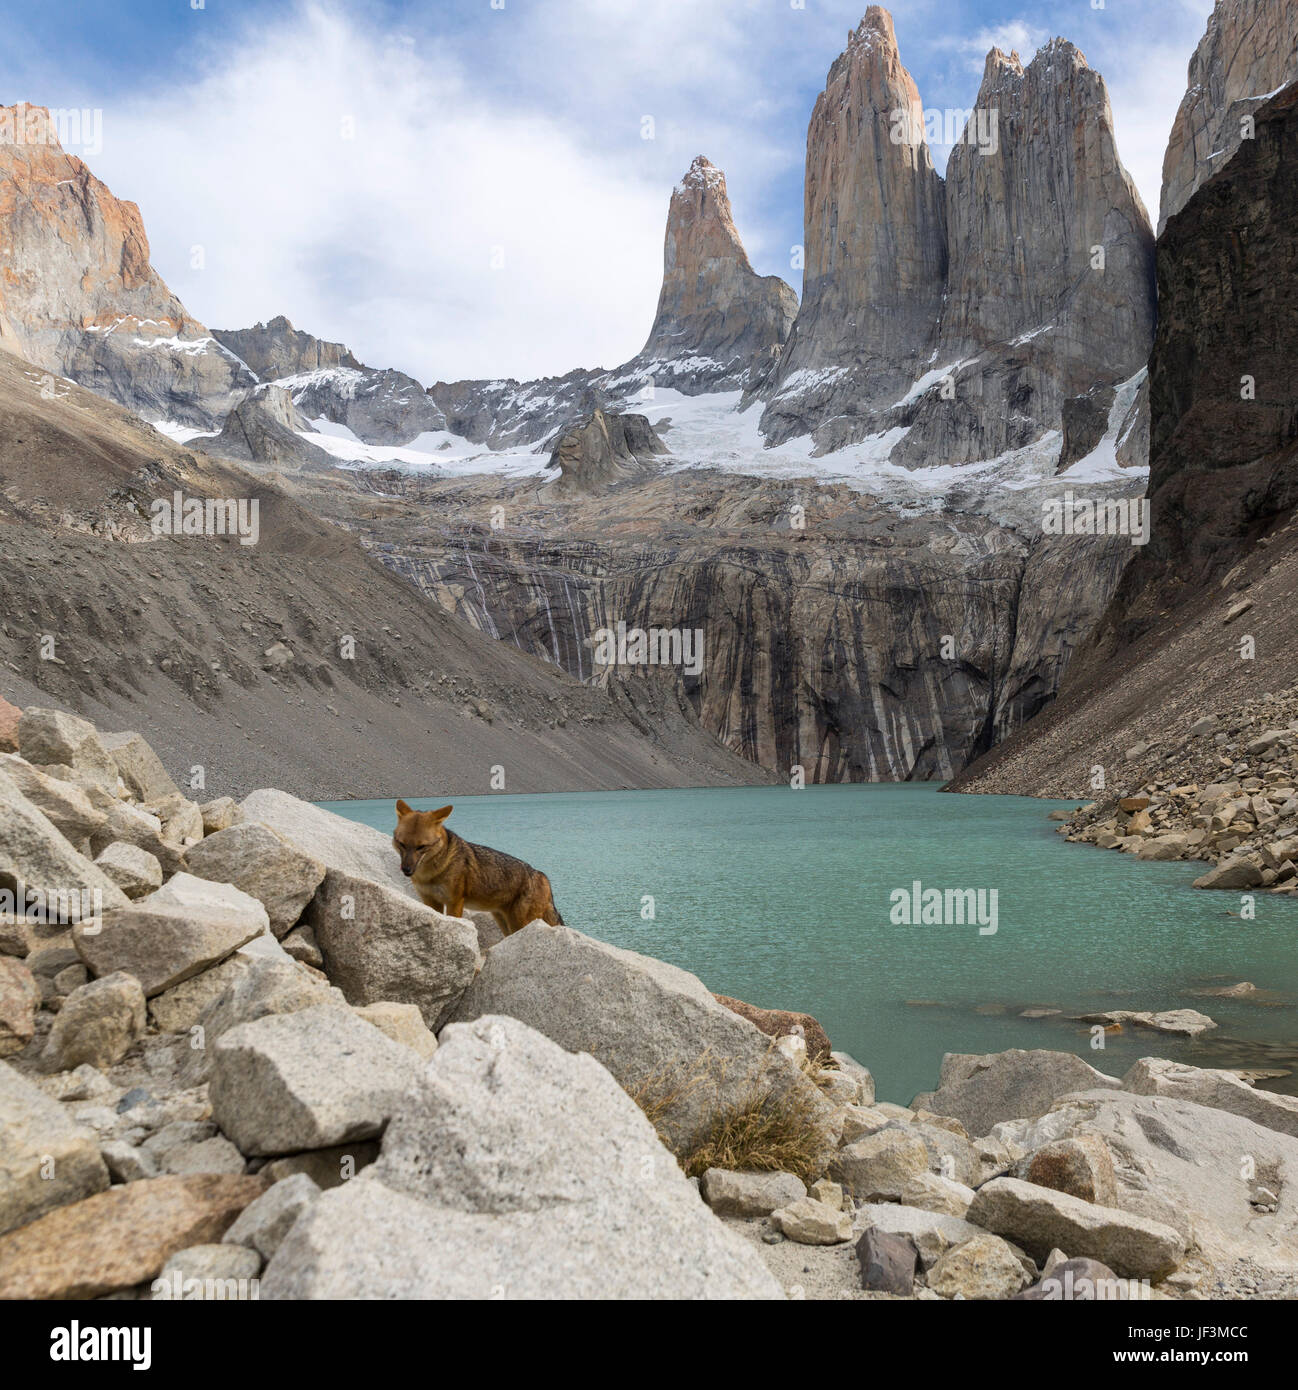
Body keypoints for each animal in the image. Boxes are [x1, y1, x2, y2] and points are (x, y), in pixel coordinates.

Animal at [391, 800, 564, 939]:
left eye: (421, 847)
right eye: (401, 844)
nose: (406, 869)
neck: (430, 874)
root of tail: (542, 876)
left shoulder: (454, 902)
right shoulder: (430, 901)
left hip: (520, 923)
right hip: (505, 922)